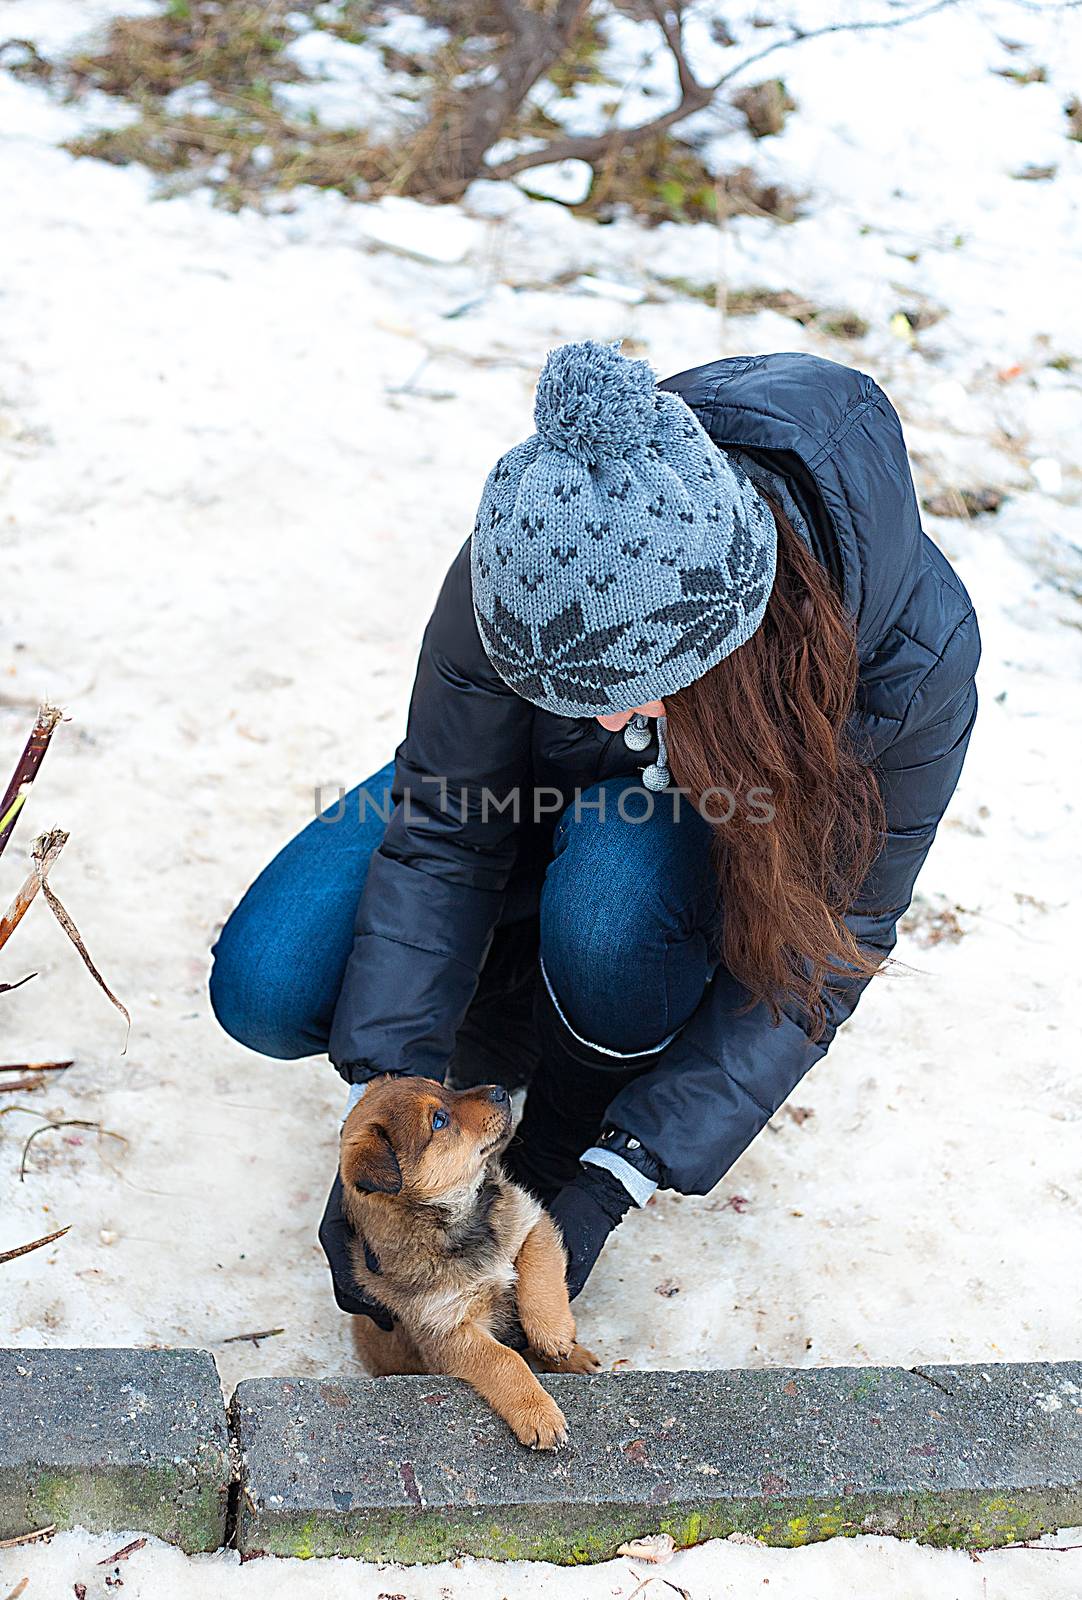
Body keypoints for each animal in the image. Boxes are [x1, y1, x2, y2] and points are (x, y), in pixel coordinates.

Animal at [340, 1075, 598, 1452]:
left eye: (444, 1087)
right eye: (438, 1121)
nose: (500, 1091)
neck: (463, 1223)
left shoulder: (530, 1223)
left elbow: (540, 1277)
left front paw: (554, 1334)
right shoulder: (447, 1330)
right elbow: (504, 1360)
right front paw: (538, 1414)